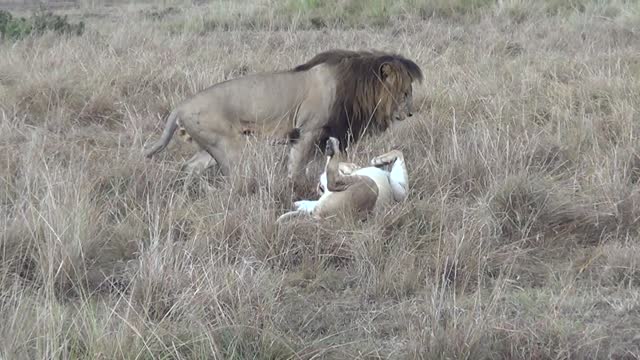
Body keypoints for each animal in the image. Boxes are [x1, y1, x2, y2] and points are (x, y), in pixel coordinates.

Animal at [144, 49, 422, 184]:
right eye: (405, 92)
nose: (410, 112)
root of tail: (180, 106)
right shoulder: (308, 131)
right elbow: (295, 167)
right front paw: (294, 189)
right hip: (228, 146)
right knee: (233, 178)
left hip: (210, 144)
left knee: (189, 167)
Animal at [276, 138, 408, 222]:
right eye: (320, 188)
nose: (320, 187)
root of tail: (320, 217)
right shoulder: (400, 191)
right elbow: (398, 152)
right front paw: (379, 161)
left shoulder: (400, 192)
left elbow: (398, 152)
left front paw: (379, 160)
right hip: (370, 185)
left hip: (370, 185)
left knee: (333, 180)